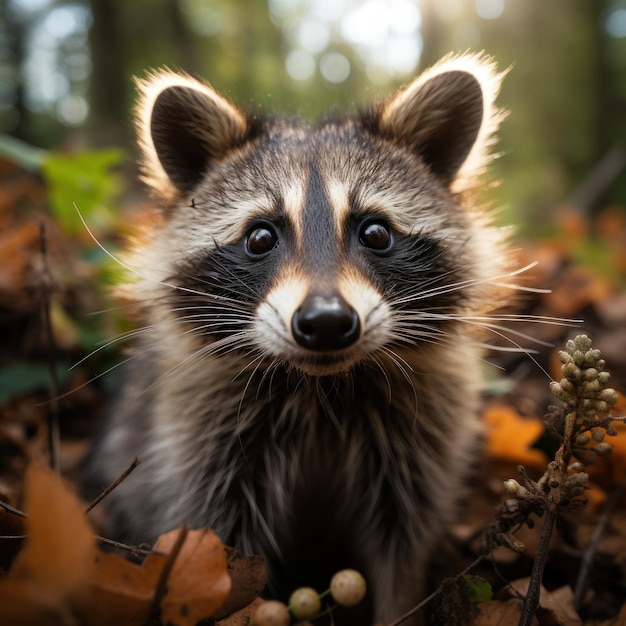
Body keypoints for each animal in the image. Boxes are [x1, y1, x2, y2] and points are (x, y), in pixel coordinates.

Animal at [86, 53, 508, 624]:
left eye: (376, 233)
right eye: (261, 237)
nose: (326, 322)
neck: (319, 389)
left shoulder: (420, 439)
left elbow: (403, 547)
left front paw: (399, 606)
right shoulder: (202, 437)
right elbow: (216, 546)